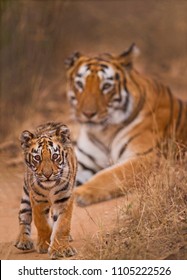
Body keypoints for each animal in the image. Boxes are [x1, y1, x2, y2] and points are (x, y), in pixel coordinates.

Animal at [14, 122, 77, 260]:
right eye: (37, 158)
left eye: (55, 156)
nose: (47, 175)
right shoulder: (37, 200)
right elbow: (41, 223)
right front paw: (44, 245)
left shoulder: (64, 199)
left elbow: (63, 225)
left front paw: (61, 249)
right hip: (26, 194)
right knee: (23, 216)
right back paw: (23, 241)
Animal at [64, 43, 187, 206]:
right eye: (80, 84)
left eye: (106, 86)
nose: (88, 114)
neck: (104, 132)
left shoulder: (147, 158)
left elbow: (110, 175)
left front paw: (79, 193)